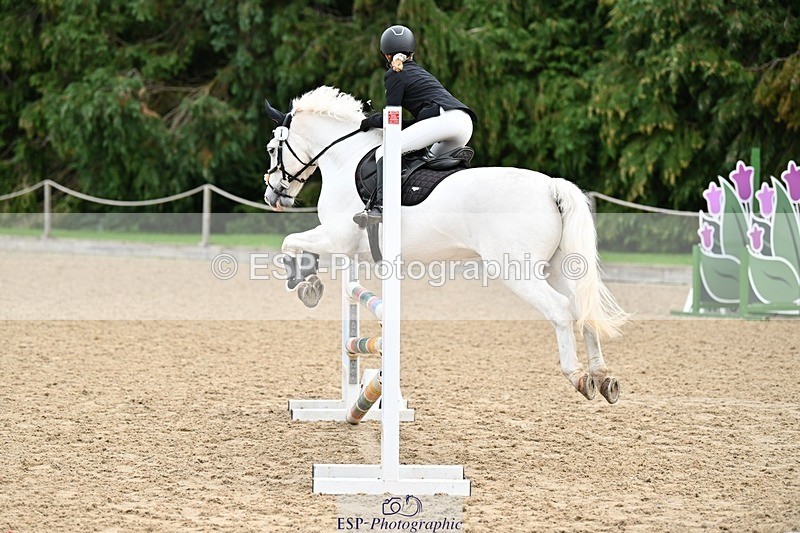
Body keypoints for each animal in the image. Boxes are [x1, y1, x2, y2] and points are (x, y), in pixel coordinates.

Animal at [262, 85, 628, 403]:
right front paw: (308, 282)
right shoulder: (348, 246)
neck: (344, 156)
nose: (272, 196)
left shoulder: (337, 236)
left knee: (561, 309)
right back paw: (602, 376)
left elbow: (290, 242)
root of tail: (551, 186)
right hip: (555, 267)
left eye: (271, 150)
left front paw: (305, 286)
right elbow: (298, 245)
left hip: (517, 270)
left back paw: (578, 376)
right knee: (583, 307)